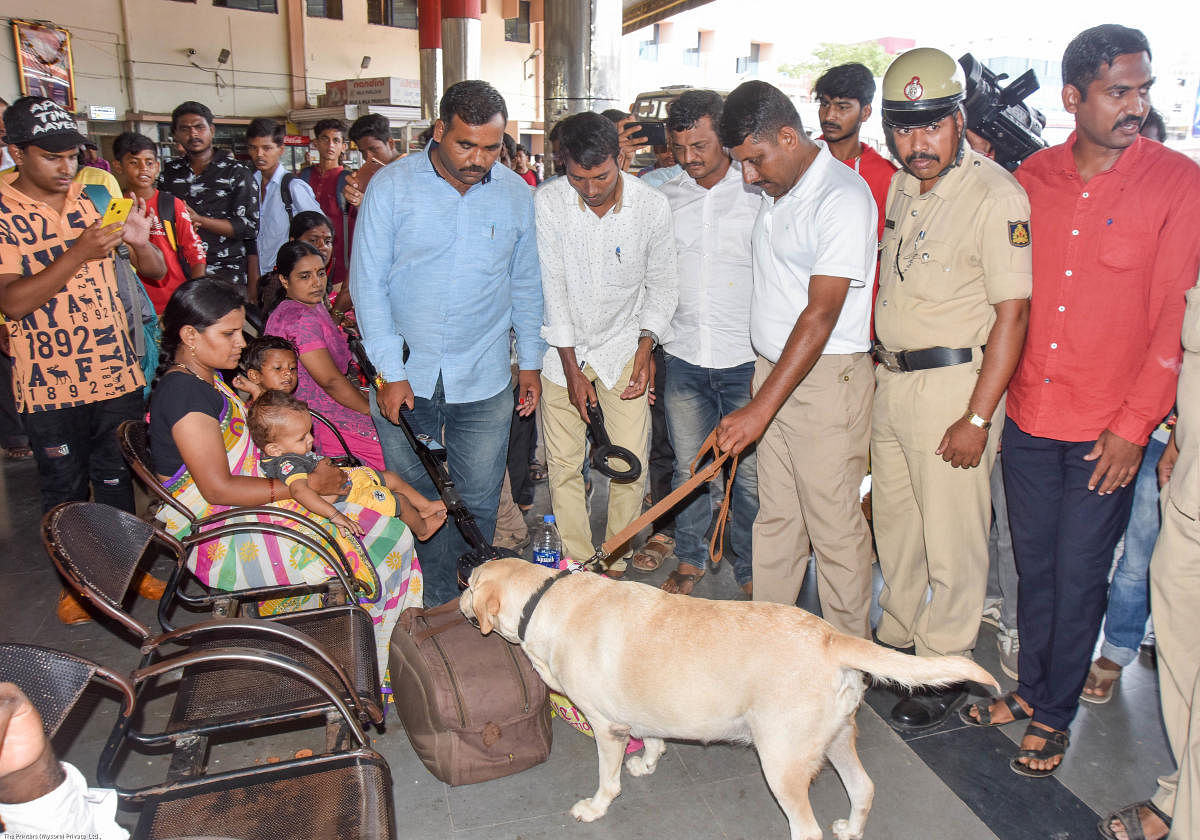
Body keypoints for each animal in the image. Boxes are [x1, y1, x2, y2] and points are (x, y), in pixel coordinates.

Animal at [463, 556, 998, 840]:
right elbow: (654, 740)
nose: (458, 583)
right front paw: (649, 762)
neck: (546, 601)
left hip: (782, 763)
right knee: (863, 789)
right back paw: (851, 827)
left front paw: (595, 807)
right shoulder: (645, 714)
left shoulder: (607, 729)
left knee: (808, 829)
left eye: (469, 586)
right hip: (835, 739)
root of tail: (832, 636)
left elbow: (607, 782)